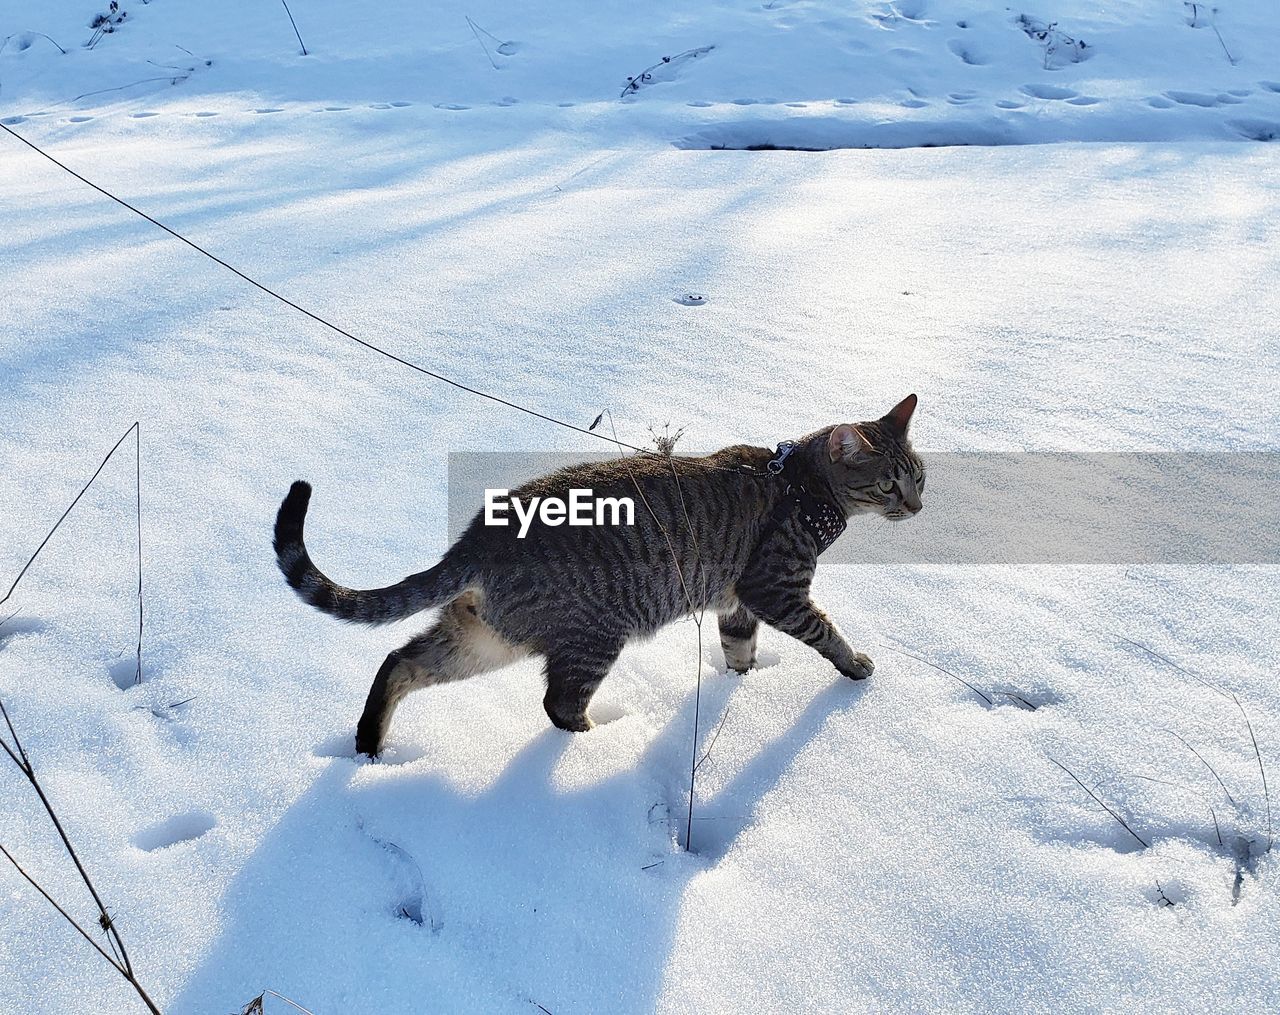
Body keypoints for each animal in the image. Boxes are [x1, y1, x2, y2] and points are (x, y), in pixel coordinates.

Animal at [275, 391, 926, 757]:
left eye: (919, 477)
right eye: (890, 484)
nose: (919, 507)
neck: (799, 486)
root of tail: (477, 537)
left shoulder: (738, 604)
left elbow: (738, 651)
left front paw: (740, 685)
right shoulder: (776, 589)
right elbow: (825, 632)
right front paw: (854, 665)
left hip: (482, 639)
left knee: (399, 661)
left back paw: (369, 744)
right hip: (594, 637)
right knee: (560, 705)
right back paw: (599, 743)